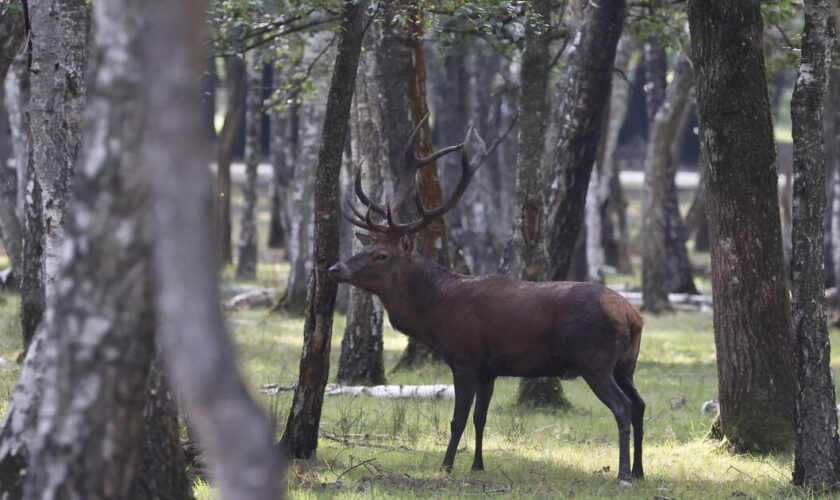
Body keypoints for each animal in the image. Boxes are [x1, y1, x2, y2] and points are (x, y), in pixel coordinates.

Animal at [328, 115, 644, 482]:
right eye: (364, 247)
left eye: (380, 255)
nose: (335, 267)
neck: (435, 313)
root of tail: (634, 316)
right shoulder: (489, 368)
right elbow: (481, 417)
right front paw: (478, 464)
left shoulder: (464, 357)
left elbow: (458, 419)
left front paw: (446, 466)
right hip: (626, 365)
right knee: (640, 405)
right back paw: (639, 471)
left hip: (595, 360)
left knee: (622, 407)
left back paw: (623, 473)